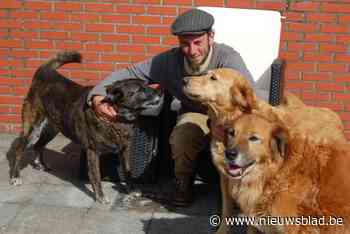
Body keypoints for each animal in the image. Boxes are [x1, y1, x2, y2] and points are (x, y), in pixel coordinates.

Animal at [8, 50, 161, 203]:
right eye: (139, 90)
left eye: (147, 85)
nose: (159, 92)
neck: (116, 118)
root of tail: (45, 71)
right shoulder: (93, 151)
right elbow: (96, 176)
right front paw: (100, 196)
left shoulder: (124, 150)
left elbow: (128, 171)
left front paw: (131, 190)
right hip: (33, 127)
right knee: (19, 149)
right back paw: (15, 177)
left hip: (53, 128)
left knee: (38, 145)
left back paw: (41, 165)